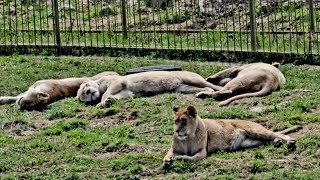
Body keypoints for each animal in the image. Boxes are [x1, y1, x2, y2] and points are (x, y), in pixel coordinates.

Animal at [76, 70, 224, 107]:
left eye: (85, 86)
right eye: (84, 95)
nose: (89, 92)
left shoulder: (118, 81)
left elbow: (107, 92)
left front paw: (102, 103)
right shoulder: (128, 92)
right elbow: (119, 96)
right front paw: (108, 102)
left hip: (191, 78)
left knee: (212, 85)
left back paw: (220, 89)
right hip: (183, 88)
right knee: (206, 88)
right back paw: (203, 93)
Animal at [164, 105, 298, 168]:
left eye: (183, 121)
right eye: (175, 121)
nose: (177, 131)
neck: (188, 138)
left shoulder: (202, 152)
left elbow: (190, 158)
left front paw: (176, 158)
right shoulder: (173, 149)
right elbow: (168, 154)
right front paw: (167, 160)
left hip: (256, 131)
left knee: (278, 133)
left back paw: (290, 141)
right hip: (250, 142)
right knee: (268, 140)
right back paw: (277, 142)